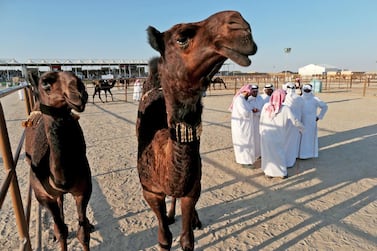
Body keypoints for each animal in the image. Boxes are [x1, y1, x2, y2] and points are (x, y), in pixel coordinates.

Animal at [24, 71, 93, 251]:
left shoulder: (83, 189)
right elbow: (61, 231)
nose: (79, 91)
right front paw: (59, 234)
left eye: (76, 75)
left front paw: (86, 227)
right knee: (59, 204)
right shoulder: (42, 196)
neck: (61, 179)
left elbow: (83, 234)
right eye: (45, 83)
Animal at [137, 10, 258, 250]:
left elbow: (187, 239)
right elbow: (164, 239)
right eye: (182, 37)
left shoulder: (192, 189)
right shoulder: (150, 192)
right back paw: (171, 215)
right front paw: (167, 223)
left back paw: (194, 219)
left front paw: (191, 222)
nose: (240, 24)